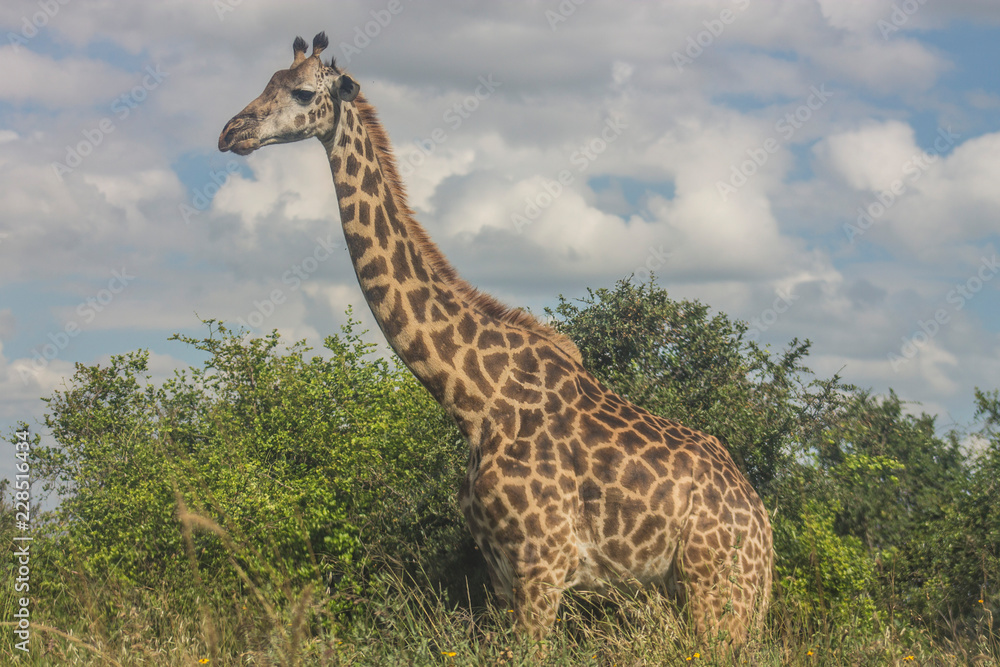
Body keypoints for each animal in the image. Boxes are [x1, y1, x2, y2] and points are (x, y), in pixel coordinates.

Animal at [219, 32, 773, 645]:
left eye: (300, 91)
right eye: (267, 80)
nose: (230, 132)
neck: (473, 401)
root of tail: (764, 531)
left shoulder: (543, 563)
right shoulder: (501, 569)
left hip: (718, 593)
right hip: (690, 595)